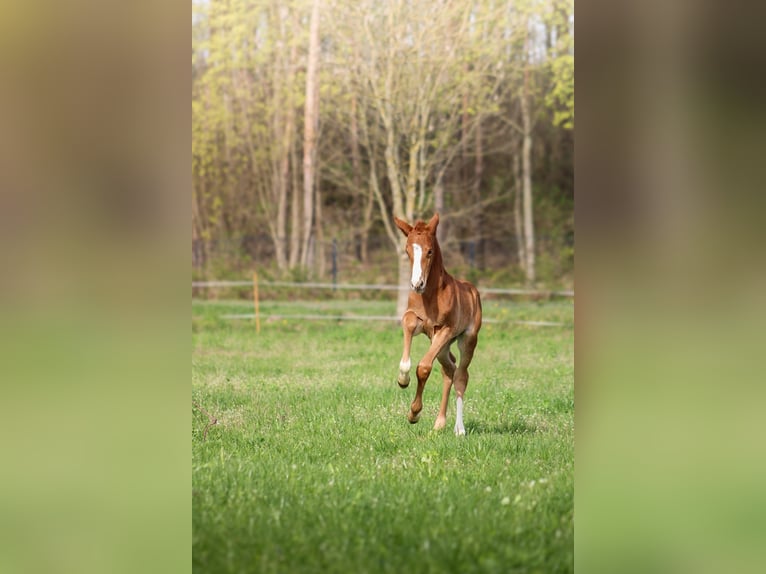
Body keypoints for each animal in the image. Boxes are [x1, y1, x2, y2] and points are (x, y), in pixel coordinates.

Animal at [392, 215, 484, 436]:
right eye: (407, 250)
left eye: (430, 251)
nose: (417, 284)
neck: (431, 295)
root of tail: (473, 290)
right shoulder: (415, 319)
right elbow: (408, 333)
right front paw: (403, 380)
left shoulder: (446, 329)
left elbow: (424, 367)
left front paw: (414, 414)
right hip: (441, 346)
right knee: (449, 369)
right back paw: (440, 423)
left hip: (467, 339)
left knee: (461, 375)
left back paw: (459, 429)